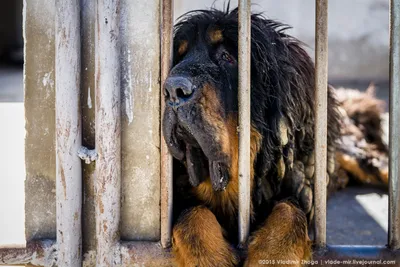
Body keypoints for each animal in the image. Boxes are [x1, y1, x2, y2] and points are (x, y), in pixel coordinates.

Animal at [161, 6, 390, 267]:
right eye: (179, 58)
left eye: (228, 57)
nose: (173, 90)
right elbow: (191, 212)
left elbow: (289, 212)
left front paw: (273, 255)